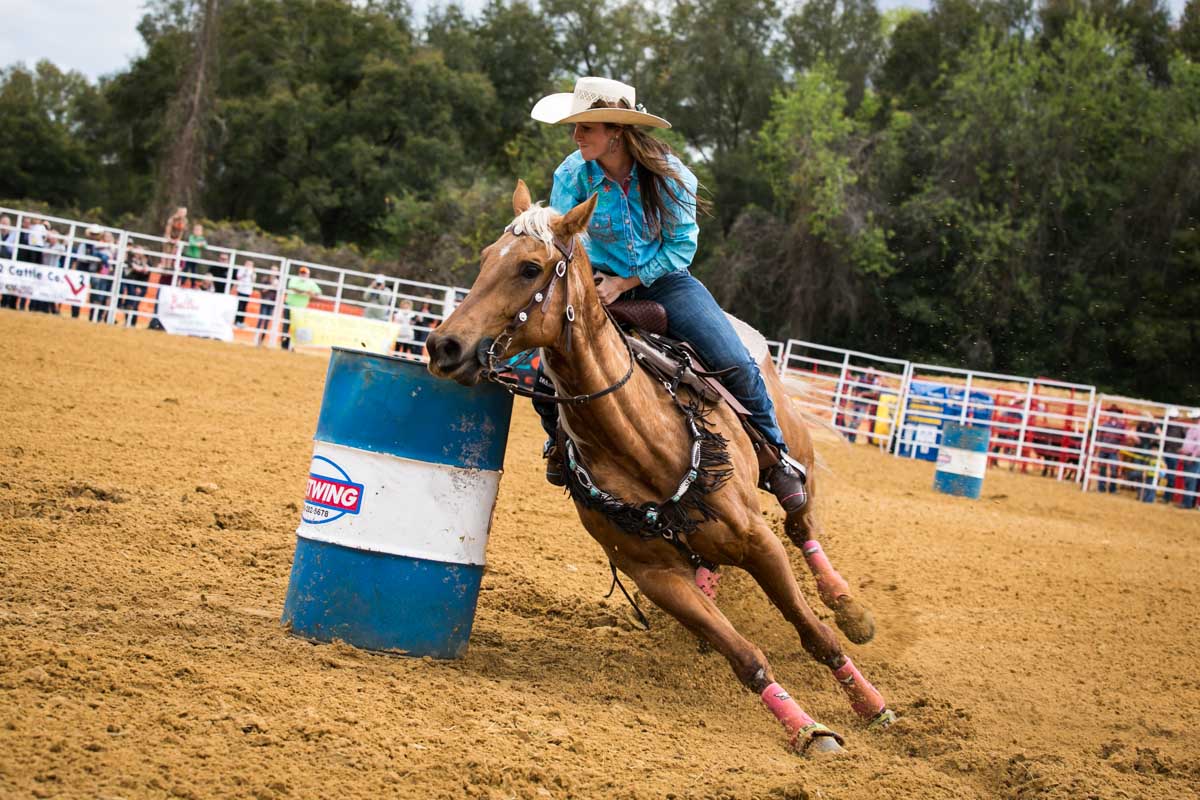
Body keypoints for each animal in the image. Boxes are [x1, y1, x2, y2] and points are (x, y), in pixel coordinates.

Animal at [427, 181, 897, 758]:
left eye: (530, 268)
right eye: (486, 257)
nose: (443, 345)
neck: (641, 442)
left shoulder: (757, 539)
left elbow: (812, 631)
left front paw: (869, 706)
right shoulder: (654, 578)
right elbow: (746, 658)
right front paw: (807, 729)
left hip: (793, 456)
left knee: (800, 520)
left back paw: (849, 607)